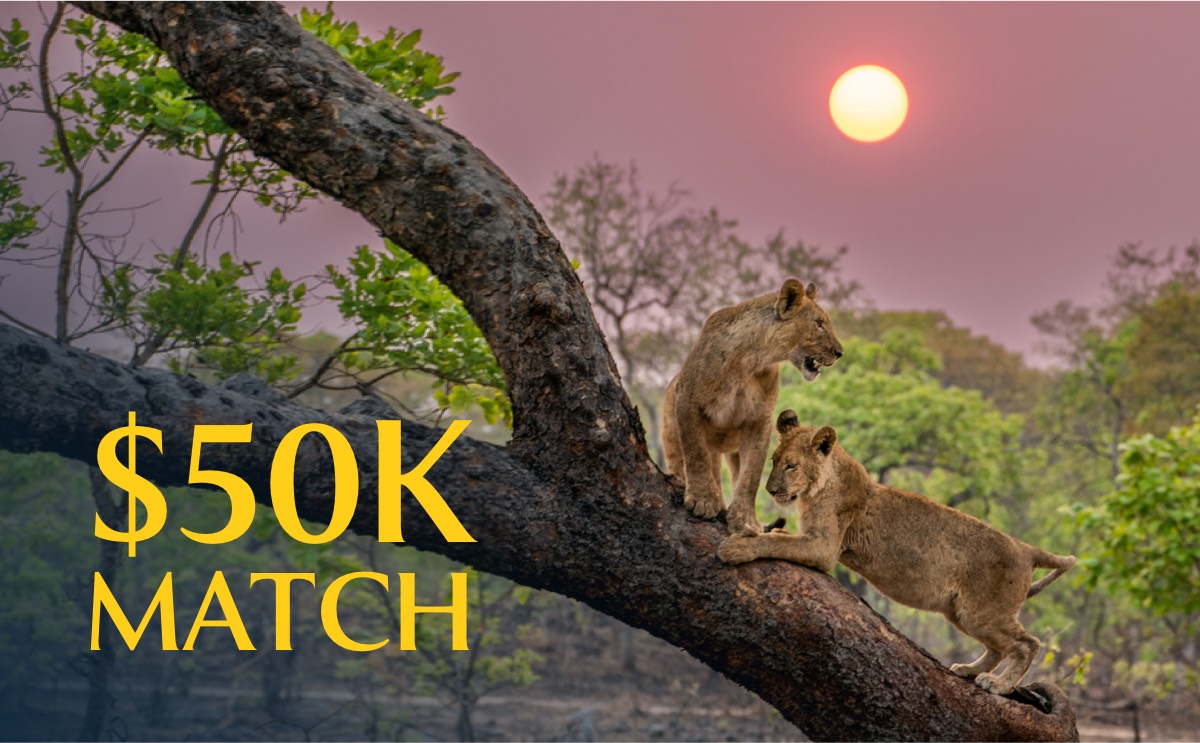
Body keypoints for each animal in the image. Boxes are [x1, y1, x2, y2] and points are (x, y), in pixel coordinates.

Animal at [661, 279, 843, 534]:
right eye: (818, 324)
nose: (840, 353)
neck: (750, 361)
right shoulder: (687, 399)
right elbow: (695, 453)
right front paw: (703, 500)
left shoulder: (760, 419)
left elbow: (750, 476)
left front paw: (746, 521)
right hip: (671, 430)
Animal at [718, 411, 1076, 696]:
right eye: (773, 461)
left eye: (792, 466)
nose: (771, 490)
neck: (818, 486)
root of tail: (1026, 548)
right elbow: (781, 537)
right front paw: (764, 531)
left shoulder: (824, 548)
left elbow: (777, 544)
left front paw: (737, 546)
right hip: (961, 612)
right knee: (998, 648)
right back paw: (970, 670)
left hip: (982, 611)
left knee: (1028, 644)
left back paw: (999, 684)